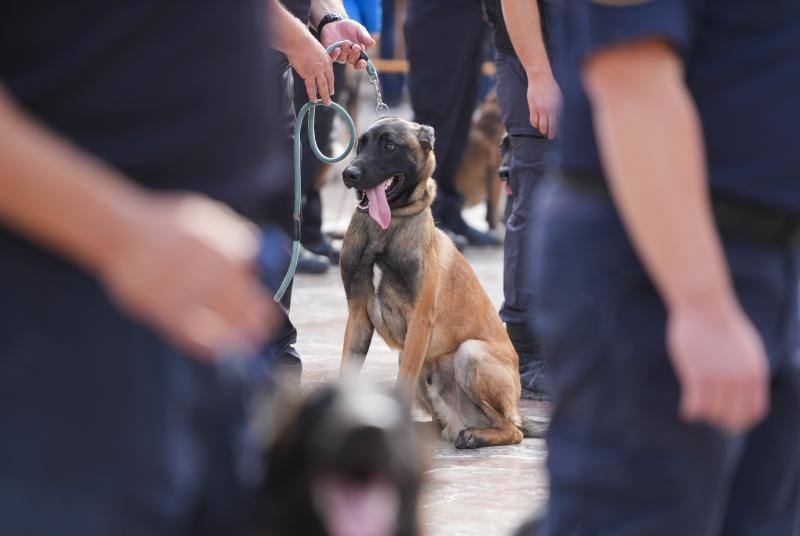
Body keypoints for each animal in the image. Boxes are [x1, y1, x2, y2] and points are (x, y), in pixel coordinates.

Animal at [338, 116, 544, 448]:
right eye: (361, 144)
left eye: (389, 145)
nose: (349, 174)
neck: (387, 228)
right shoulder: (358, 315)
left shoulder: (419, 322)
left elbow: (401, 386)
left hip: (470, 353)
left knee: (513, 431)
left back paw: (476, 435)